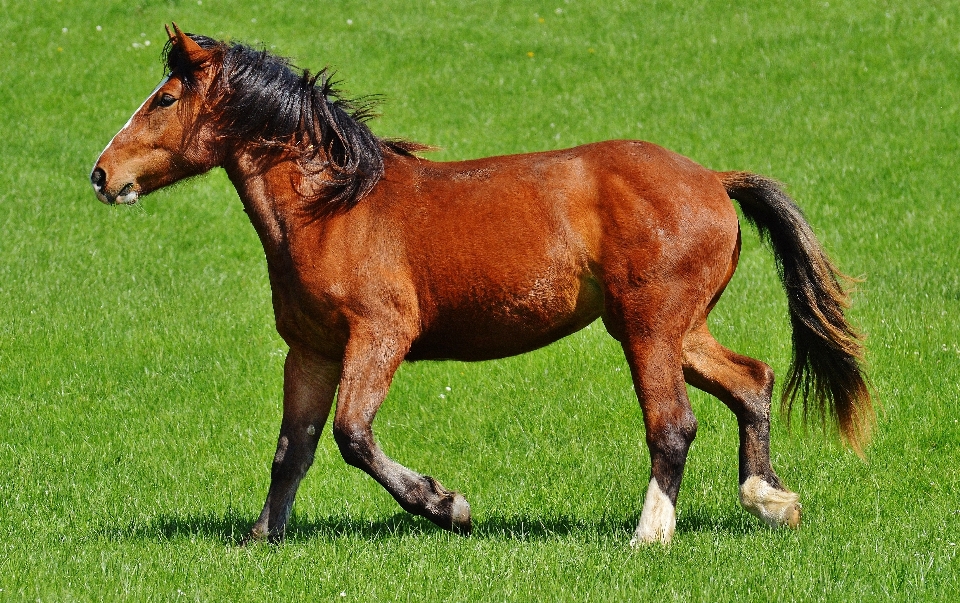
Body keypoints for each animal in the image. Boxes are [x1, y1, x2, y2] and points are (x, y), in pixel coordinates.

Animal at [88, 24, 872, 548]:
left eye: (164, 99)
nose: (101, 174)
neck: (333, 209)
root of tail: (712, 178)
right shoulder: (310, 351)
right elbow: (294, 449)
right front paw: (262, 537)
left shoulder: (380, 335)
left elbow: (352, 435)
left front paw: (447, 505)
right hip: (673, 327)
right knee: (753, 381)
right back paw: (770, 499)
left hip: (650, 326)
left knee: (673, 424)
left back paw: (650, 533)